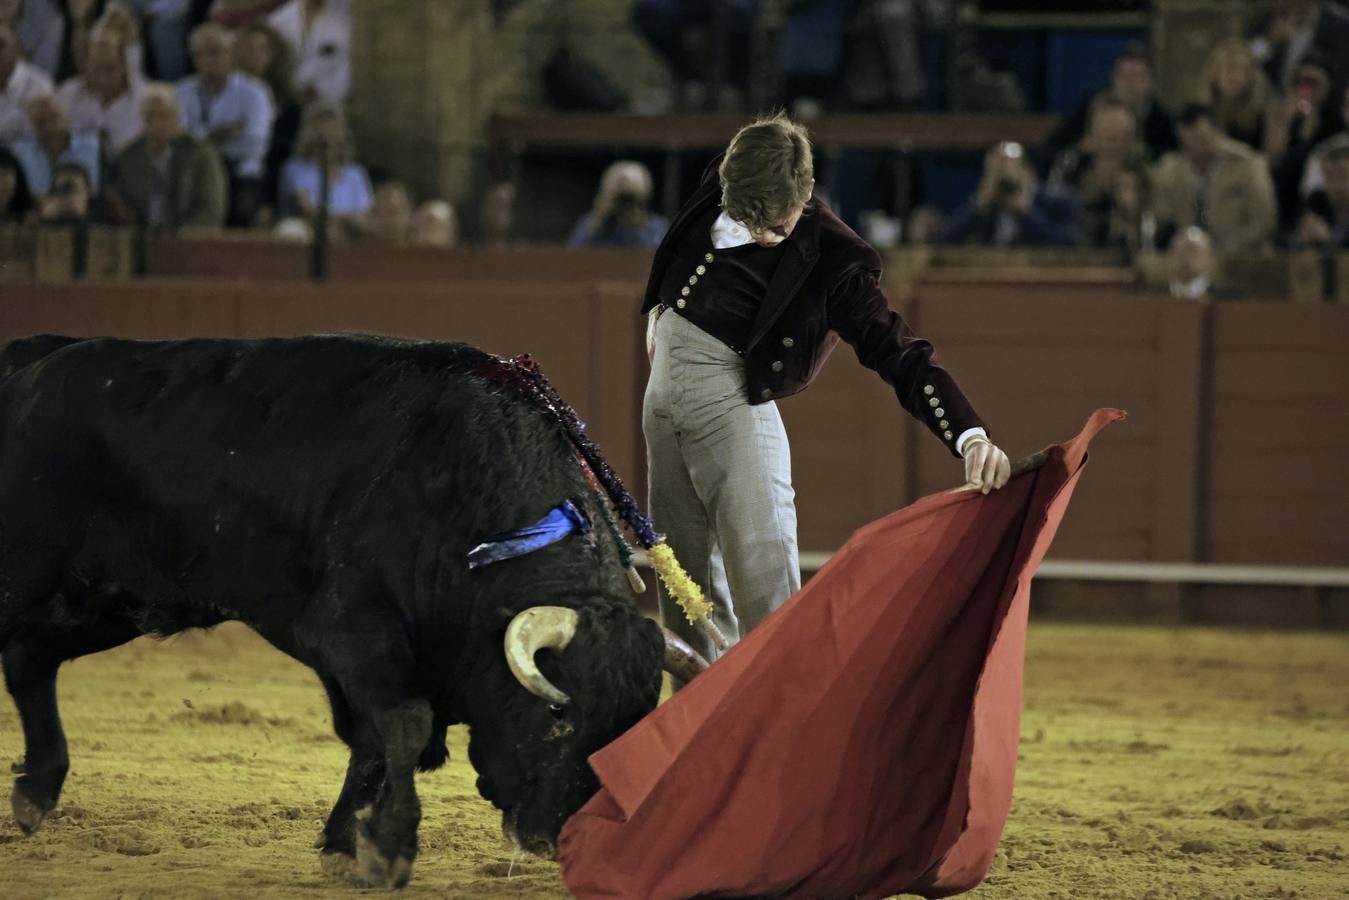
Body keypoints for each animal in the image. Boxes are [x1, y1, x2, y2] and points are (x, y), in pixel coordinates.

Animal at [2, 334, 706, 890]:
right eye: (558, 719)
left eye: (630, 727)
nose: (556, 835)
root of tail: (26, 360)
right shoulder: (354, 633)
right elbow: (400, 727)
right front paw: (387, 849)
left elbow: (370, 743)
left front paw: (345, 844)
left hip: (101, 605)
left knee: (31, 661)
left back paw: (36, 792)